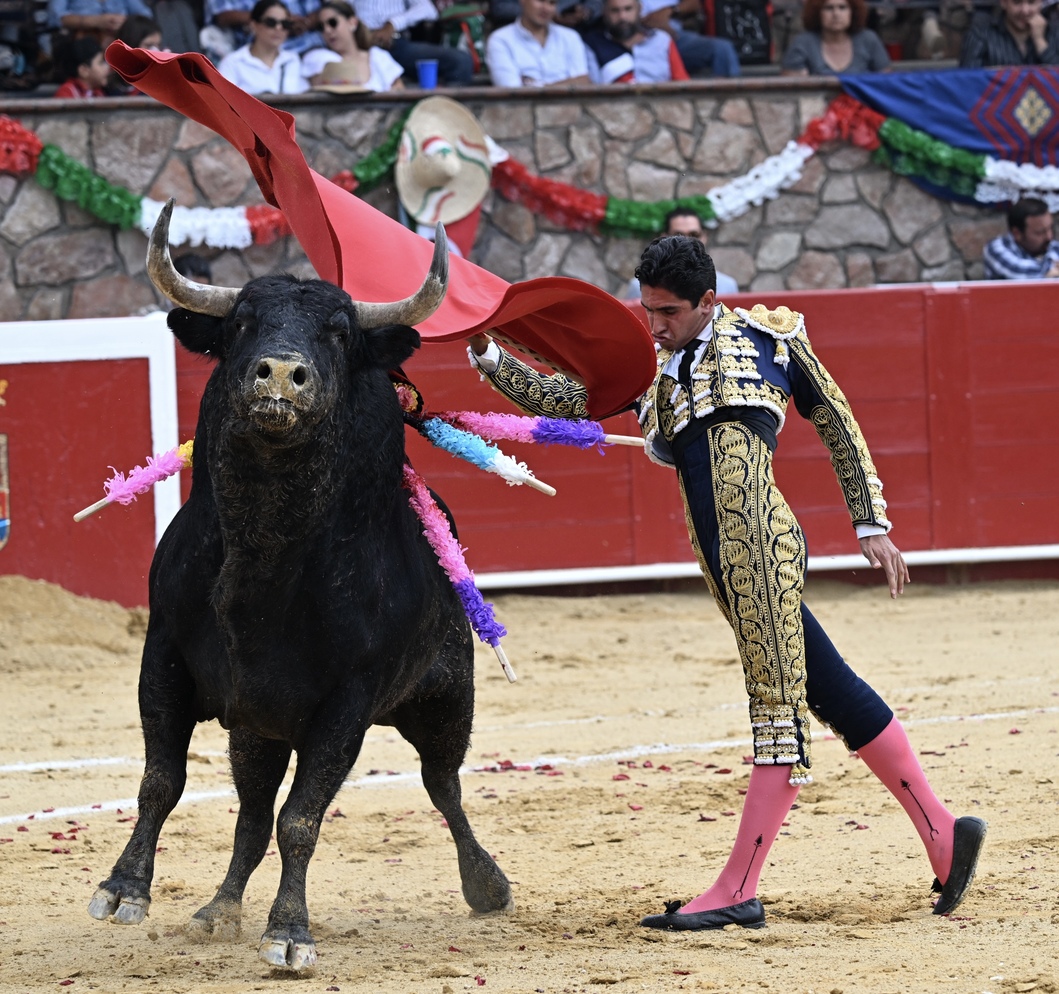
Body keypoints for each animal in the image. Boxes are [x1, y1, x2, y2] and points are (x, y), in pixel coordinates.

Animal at [87, 200, 513, 971]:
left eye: (339, 333)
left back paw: (487, 885)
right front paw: (123, 888)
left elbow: (303, 819)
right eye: (241, 323)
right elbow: (163, 780)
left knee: (443, 787)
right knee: (253, 813)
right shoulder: (162, 658)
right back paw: (219, 908)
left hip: (446, 699)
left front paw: (289, 931)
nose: (282, 375)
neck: (266, 554)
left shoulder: (346, 703)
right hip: (259, 731)